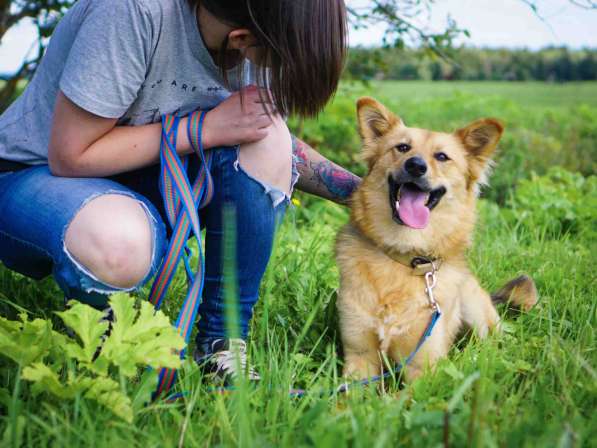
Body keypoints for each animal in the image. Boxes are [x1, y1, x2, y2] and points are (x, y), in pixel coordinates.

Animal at [336, 98, 536, 382]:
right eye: (402, 147)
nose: (415, 165)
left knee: (488, 346)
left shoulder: (423, 367)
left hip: (475, 310)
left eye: (442, 156)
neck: (405, 255)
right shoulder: (359, 357)